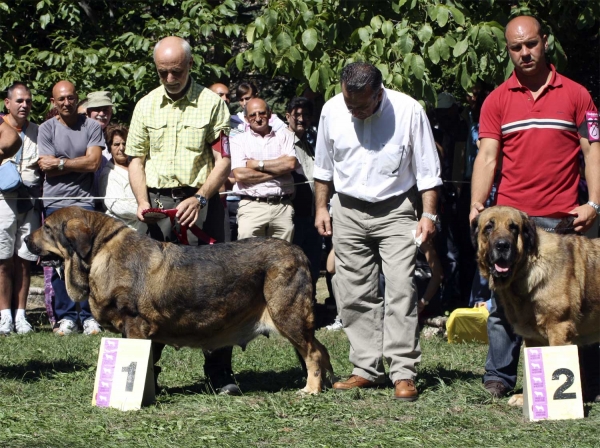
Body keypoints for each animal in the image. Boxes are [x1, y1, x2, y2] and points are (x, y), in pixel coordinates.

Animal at [25, 206, 336, 392]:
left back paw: (310, 389)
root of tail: (298, 252)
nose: (27, 240)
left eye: (48, 228)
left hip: (288, 316)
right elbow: (150, 363)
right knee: (321, 349)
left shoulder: (135, 326)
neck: (100, 250)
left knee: (312, 352)